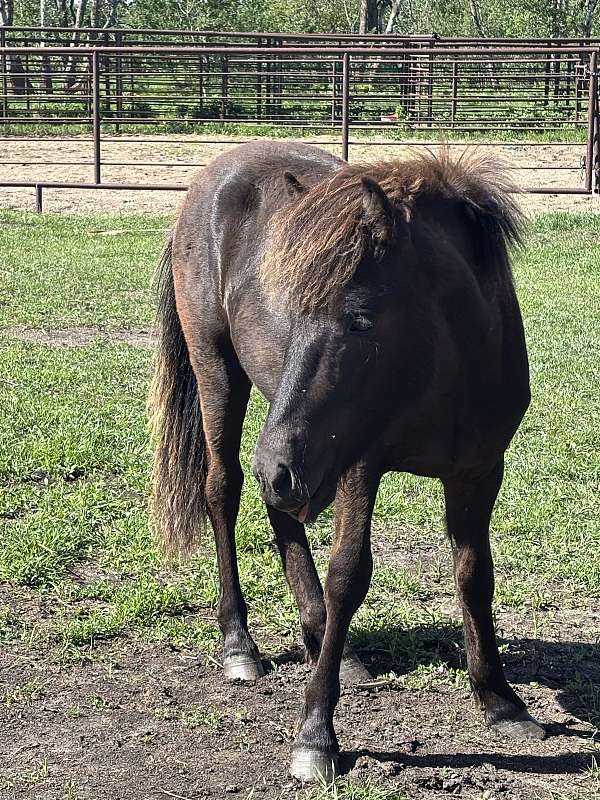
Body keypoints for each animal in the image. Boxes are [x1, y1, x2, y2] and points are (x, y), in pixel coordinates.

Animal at [149, 140, 544, 783]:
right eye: (294, 311)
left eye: (360, 318)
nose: (275, 466)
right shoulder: (358, 467)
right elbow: (348, 576)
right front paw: (316, 736)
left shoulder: (479, 473)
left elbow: (474, 574)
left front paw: (501, 700)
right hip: (224, 379)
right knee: (224, 491)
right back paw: (240, 646)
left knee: (278, 511)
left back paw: (328, 646)